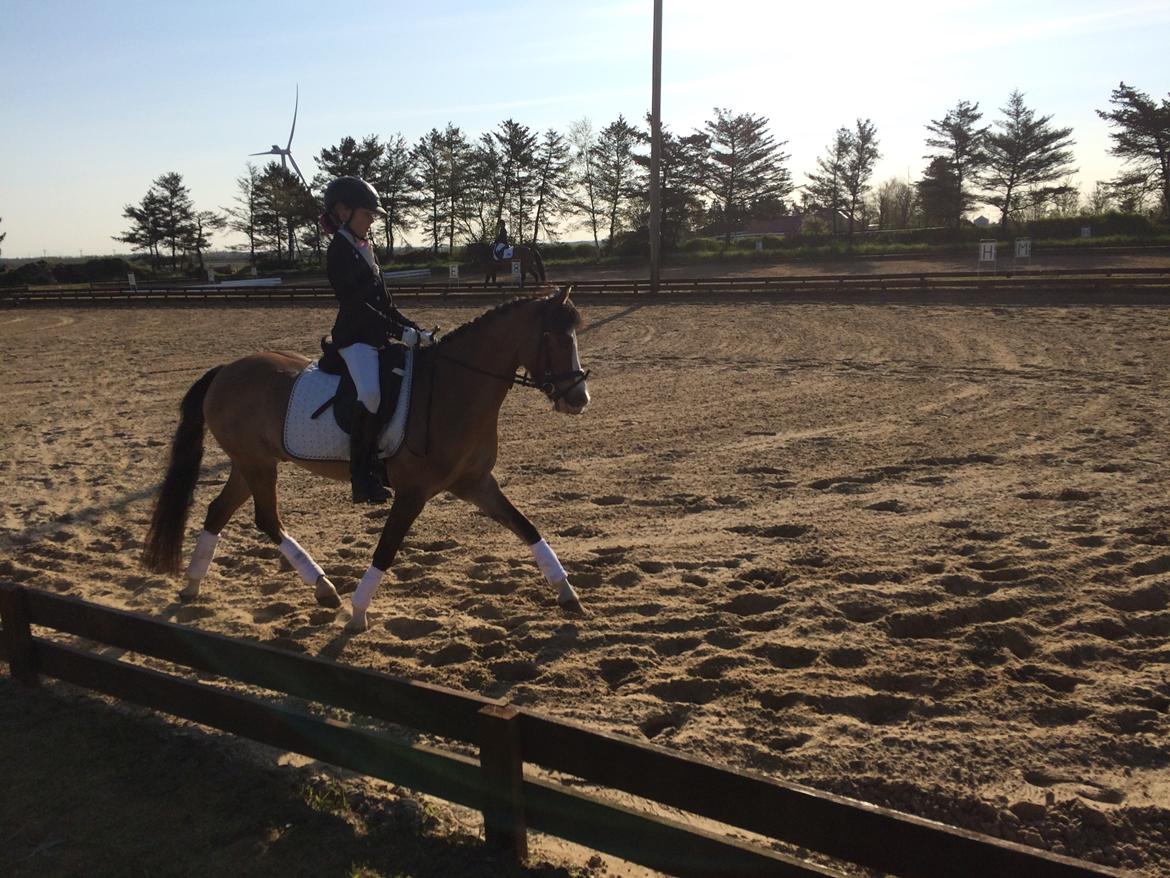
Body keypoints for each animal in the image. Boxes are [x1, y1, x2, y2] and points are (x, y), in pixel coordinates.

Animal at [142, 286, 590, 632]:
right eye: (551, 336)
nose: (578, 399)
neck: (454, 389)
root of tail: (225, 370)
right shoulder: (413, 493)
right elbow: (386, 550)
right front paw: (358, 613)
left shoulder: (476, 483)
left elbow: (527, 527)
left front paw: (568, 594)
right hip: (257, 464)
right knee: (266, 519)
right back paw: (324, 588)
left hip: (249, 463)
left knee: (219, 512)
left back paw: (194, 585)